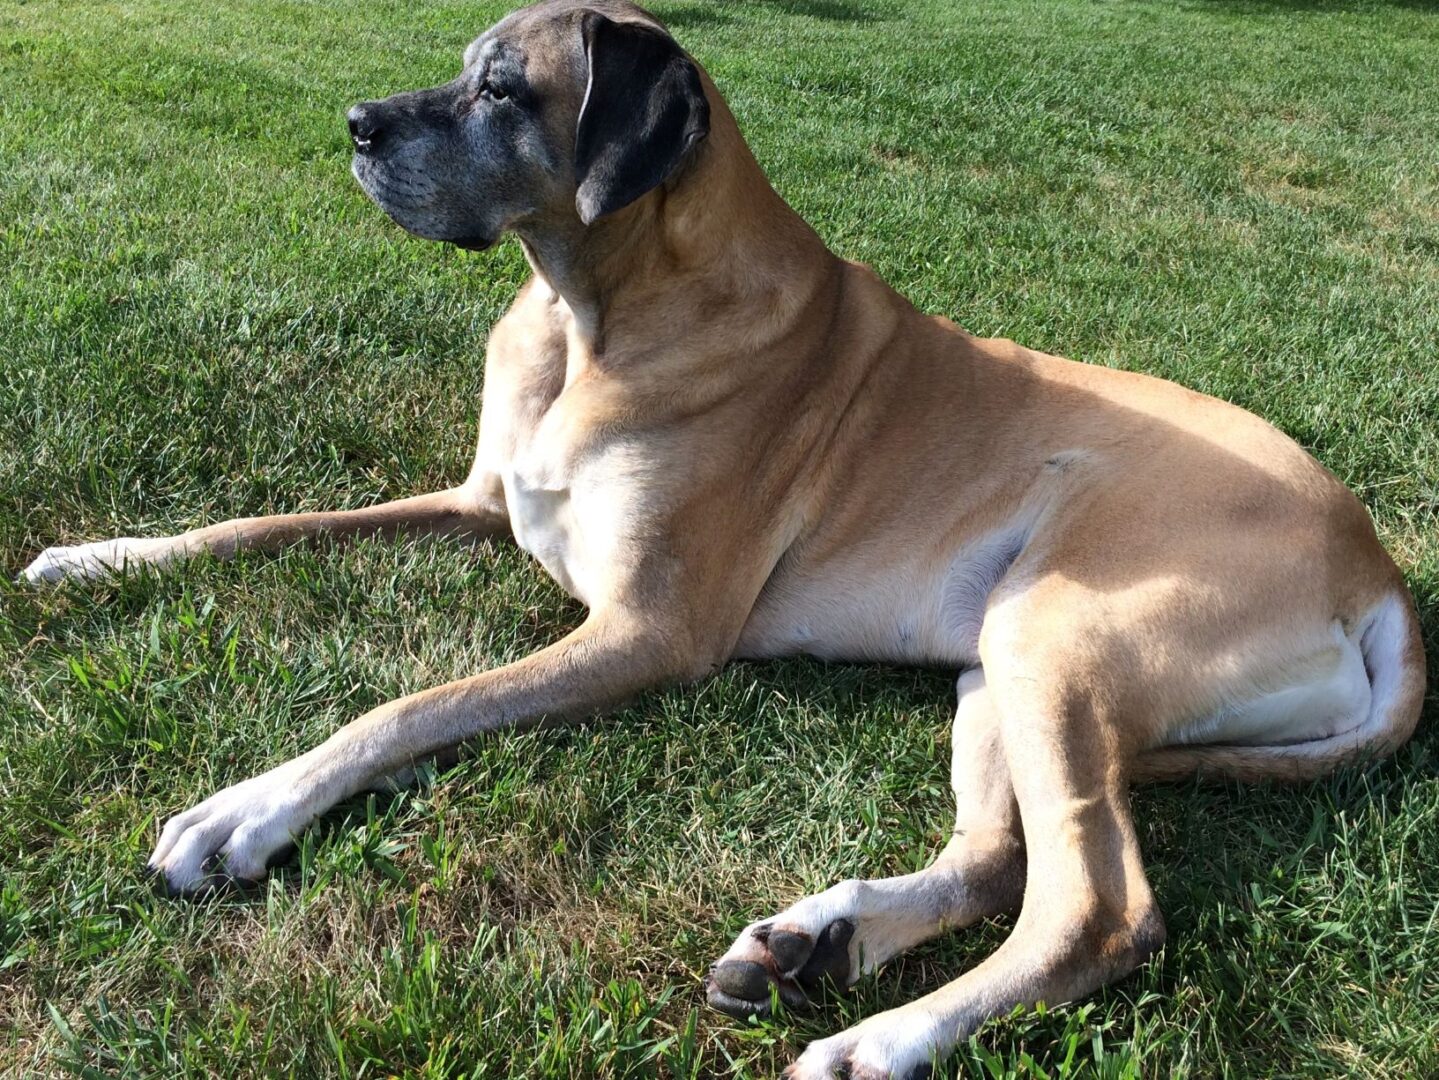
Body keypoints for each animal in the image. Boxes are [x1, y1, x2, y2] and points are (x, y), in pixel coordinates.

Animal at [22, 4, 1427, 1075]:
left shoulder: (645, 628)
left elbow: (410, 706)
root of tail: (1378, 574)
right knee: (995, 857)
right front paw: (100, 558)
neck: (590, 315)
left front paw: (245, 811)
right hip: (996, 662)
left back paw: (879, 1040)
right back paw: (821, 940)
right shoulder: (475, 501)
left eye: (501, 87)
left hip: (1057, 630)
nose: (356, 125)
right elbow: (263, 521)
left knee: (1096, 907)